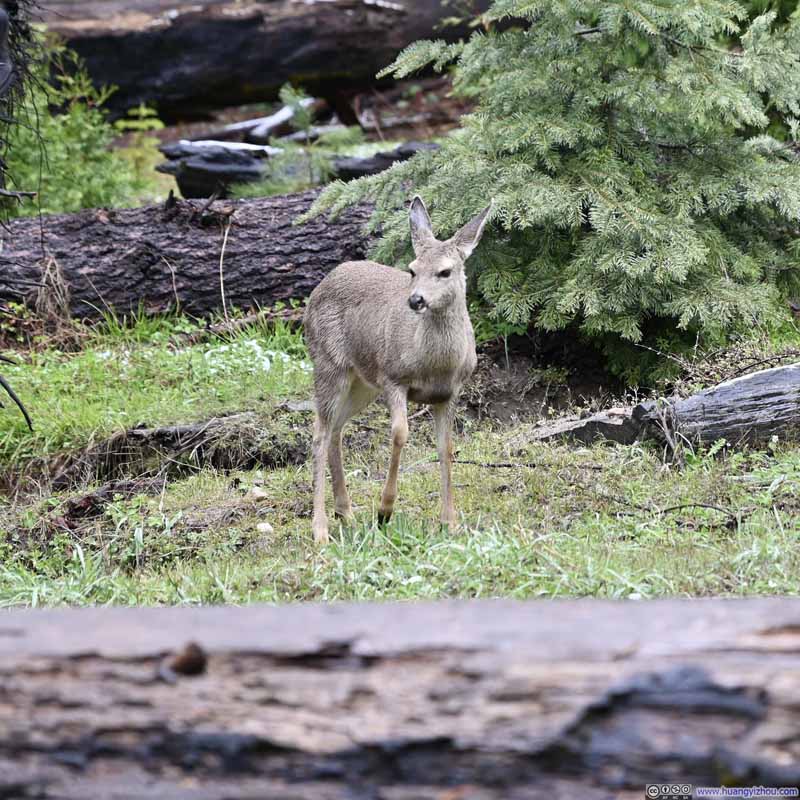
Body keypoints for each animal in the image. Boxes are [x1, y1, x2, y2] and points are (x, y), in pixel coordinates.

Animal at [303, 195, 492, 543]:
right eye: (412, 269)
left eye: (445, 271)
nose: (416, 300)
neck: (435, 365)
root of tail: (323, 282)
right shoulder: (393, 378)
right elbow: (400, 434)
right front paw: (384, 511)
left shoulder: (450, 393)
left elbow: (446, 448)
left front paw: (450, 522)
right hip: (328, 364)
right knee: (319, 434)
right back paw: (320, 529)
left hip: (362, 382)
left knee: (336, 428)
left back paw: (346, 512)